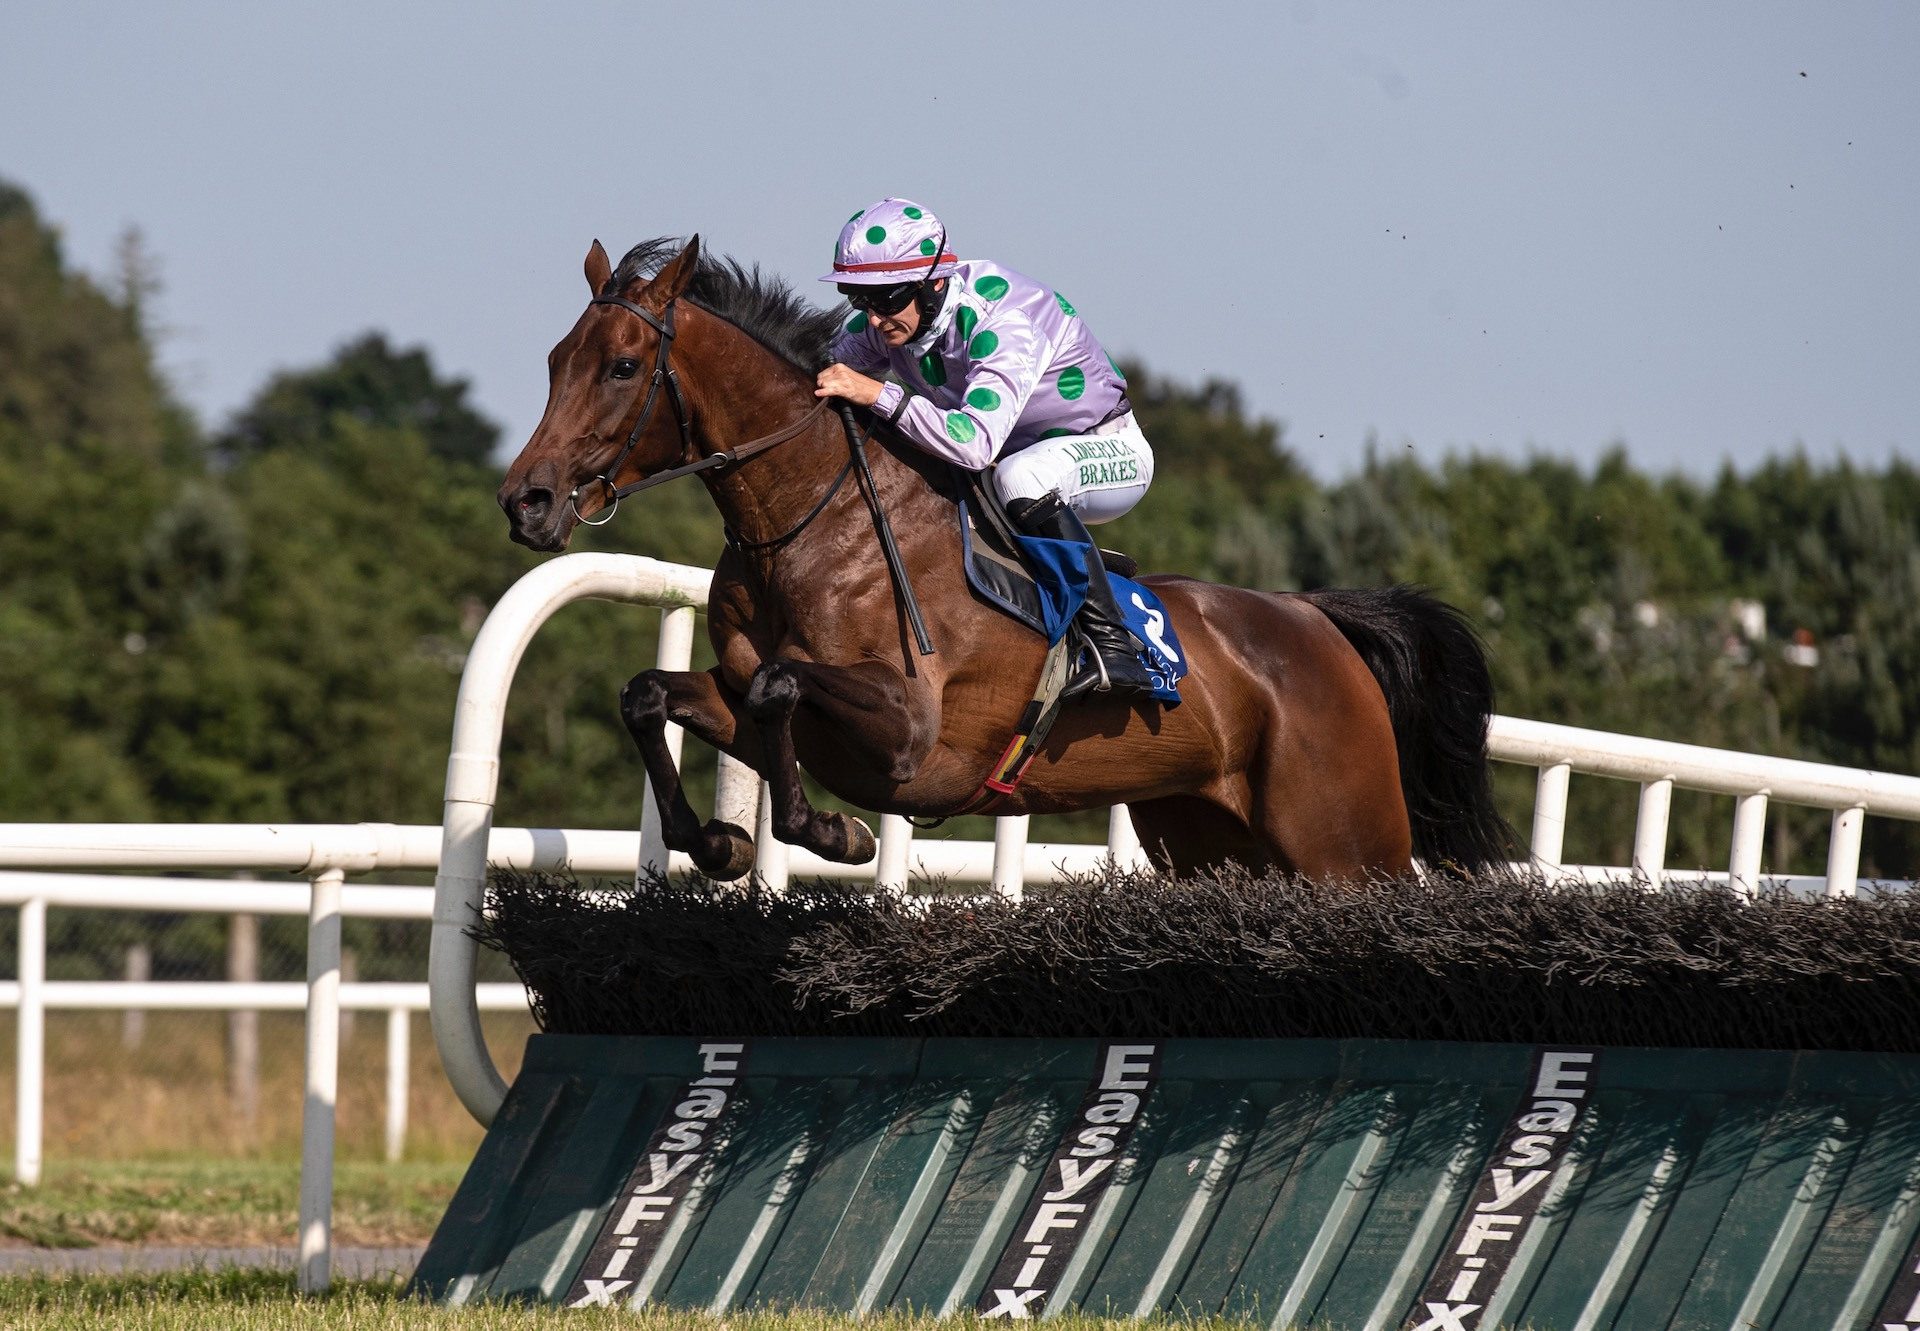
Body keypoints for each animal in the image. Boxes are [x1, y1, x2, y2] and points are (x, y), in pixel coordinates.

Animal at [495, 239, 1512, 883]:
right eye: (553, 359)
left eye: (623, 366)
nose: (527, 500)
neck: (811, 521)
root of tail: (1317, 621)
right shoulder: (743, 698)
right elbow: (651, 694)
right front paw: (715, 845)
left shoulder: (908, 729)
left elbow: (786, 687)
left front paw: (833, 831)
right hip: (1214, 844)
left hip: (1349, 845)